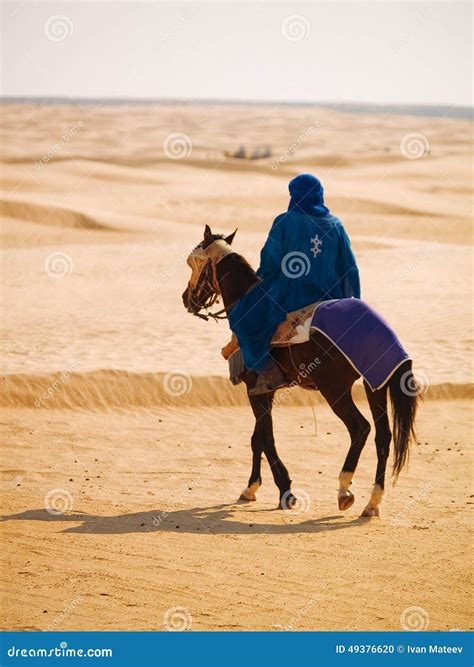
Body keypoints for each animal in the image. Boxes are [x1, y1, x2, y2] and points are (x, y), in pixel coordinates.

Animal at [181, 224, 418, 516]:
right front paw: (251, 487)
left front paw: (285, 491)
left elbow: (266, 438)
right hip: (375, 384)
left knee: (360, 428)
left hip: (335, 389)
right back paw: (373, 501)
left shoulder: (255, 389)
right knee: (383, 437)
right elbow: (257, 437)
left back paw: (344, 489)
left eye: (193, 263)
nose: (186, 299)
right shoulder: (266, 391)